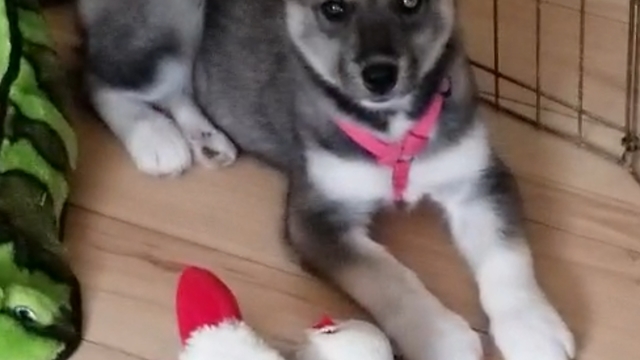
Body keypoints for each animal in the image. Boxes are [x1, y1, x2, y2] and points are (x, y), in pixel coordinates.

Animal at [77, 0, 576, 360]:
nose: (380, 76)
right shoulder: (317, 217)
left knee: (179, 90)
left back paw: (207, 139)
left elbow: (507, 257)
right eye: (334, 8)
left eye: (410, 2)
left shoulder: (476, 178)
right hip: (169, 26)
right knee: (95, 77)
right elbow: (384, 276)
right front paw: (442, 339)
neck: (391, 127)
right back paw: (155, 138)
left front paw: (532, 329)